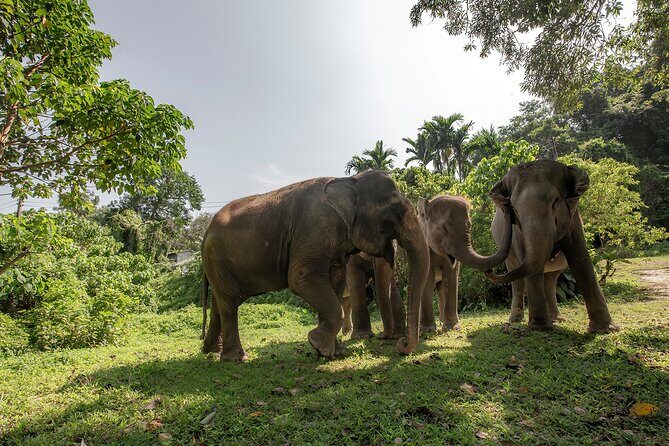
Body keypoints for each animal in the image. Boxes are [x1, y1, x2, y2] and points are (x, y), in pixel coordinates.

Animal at [200, 170, 429, 362]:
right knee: (229, 302)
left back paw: (211, 351)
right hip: (218, 258)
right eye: (394, 212)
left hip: (218, 265)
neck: (349, 181)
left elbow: (335, 283)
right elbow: (300, 278)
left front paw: (334, 352)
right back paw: (236, 358)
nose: (401, 344)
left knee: (220, 303)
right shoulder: (315, 230)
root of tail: (206, 232)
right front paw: (318, 344)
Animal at [416, 194, 512, 331]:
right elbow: (428, 277)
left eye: (470, 226)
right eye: (443, 227)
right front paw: (427, 330)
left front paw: (453, 328)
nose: (505, 203)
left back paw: (441, 321)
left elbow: (451, 275)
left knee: (440, 286)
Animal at [485, 159, 618, 333]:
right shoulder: (516, 234)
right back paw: (516, 320)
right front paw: (539, 326)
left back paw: (556, 318)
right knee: (519, 278)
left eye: (556, 200)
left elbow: (580, 259)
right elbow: (530, 264)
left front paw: (606, 329)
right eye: (513, 208)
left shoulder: (573, 219)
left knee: (550, 280)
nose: (488, 269)